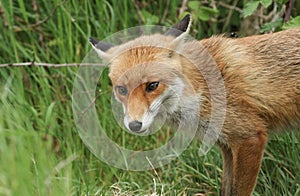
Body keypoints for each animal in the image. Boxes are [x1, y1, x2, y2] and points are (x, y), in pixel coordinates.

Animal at [89, 14, 300, 195]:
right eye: (122, 90)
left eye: (152, 85)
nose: (134, 125)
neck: (202, 89)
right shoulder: (227, 146)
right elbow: (226, 190)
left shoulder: (250, 138)